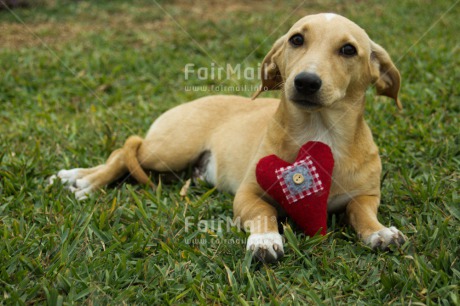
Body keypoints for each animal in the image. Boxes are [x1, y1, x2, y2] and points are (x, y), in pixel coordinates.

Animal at [51, 13, 406, 262]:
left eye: (348, 50)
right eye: (296, 40)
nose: (305, 82)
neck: (318, 131)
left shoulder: (366, 195)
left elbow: (362, 213)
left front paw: (380, 233)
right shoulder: (249, 194)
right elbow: (264, 214)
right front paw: (264, 239)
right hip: (170, 149)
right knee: (125, 152)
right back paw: (84, 181)